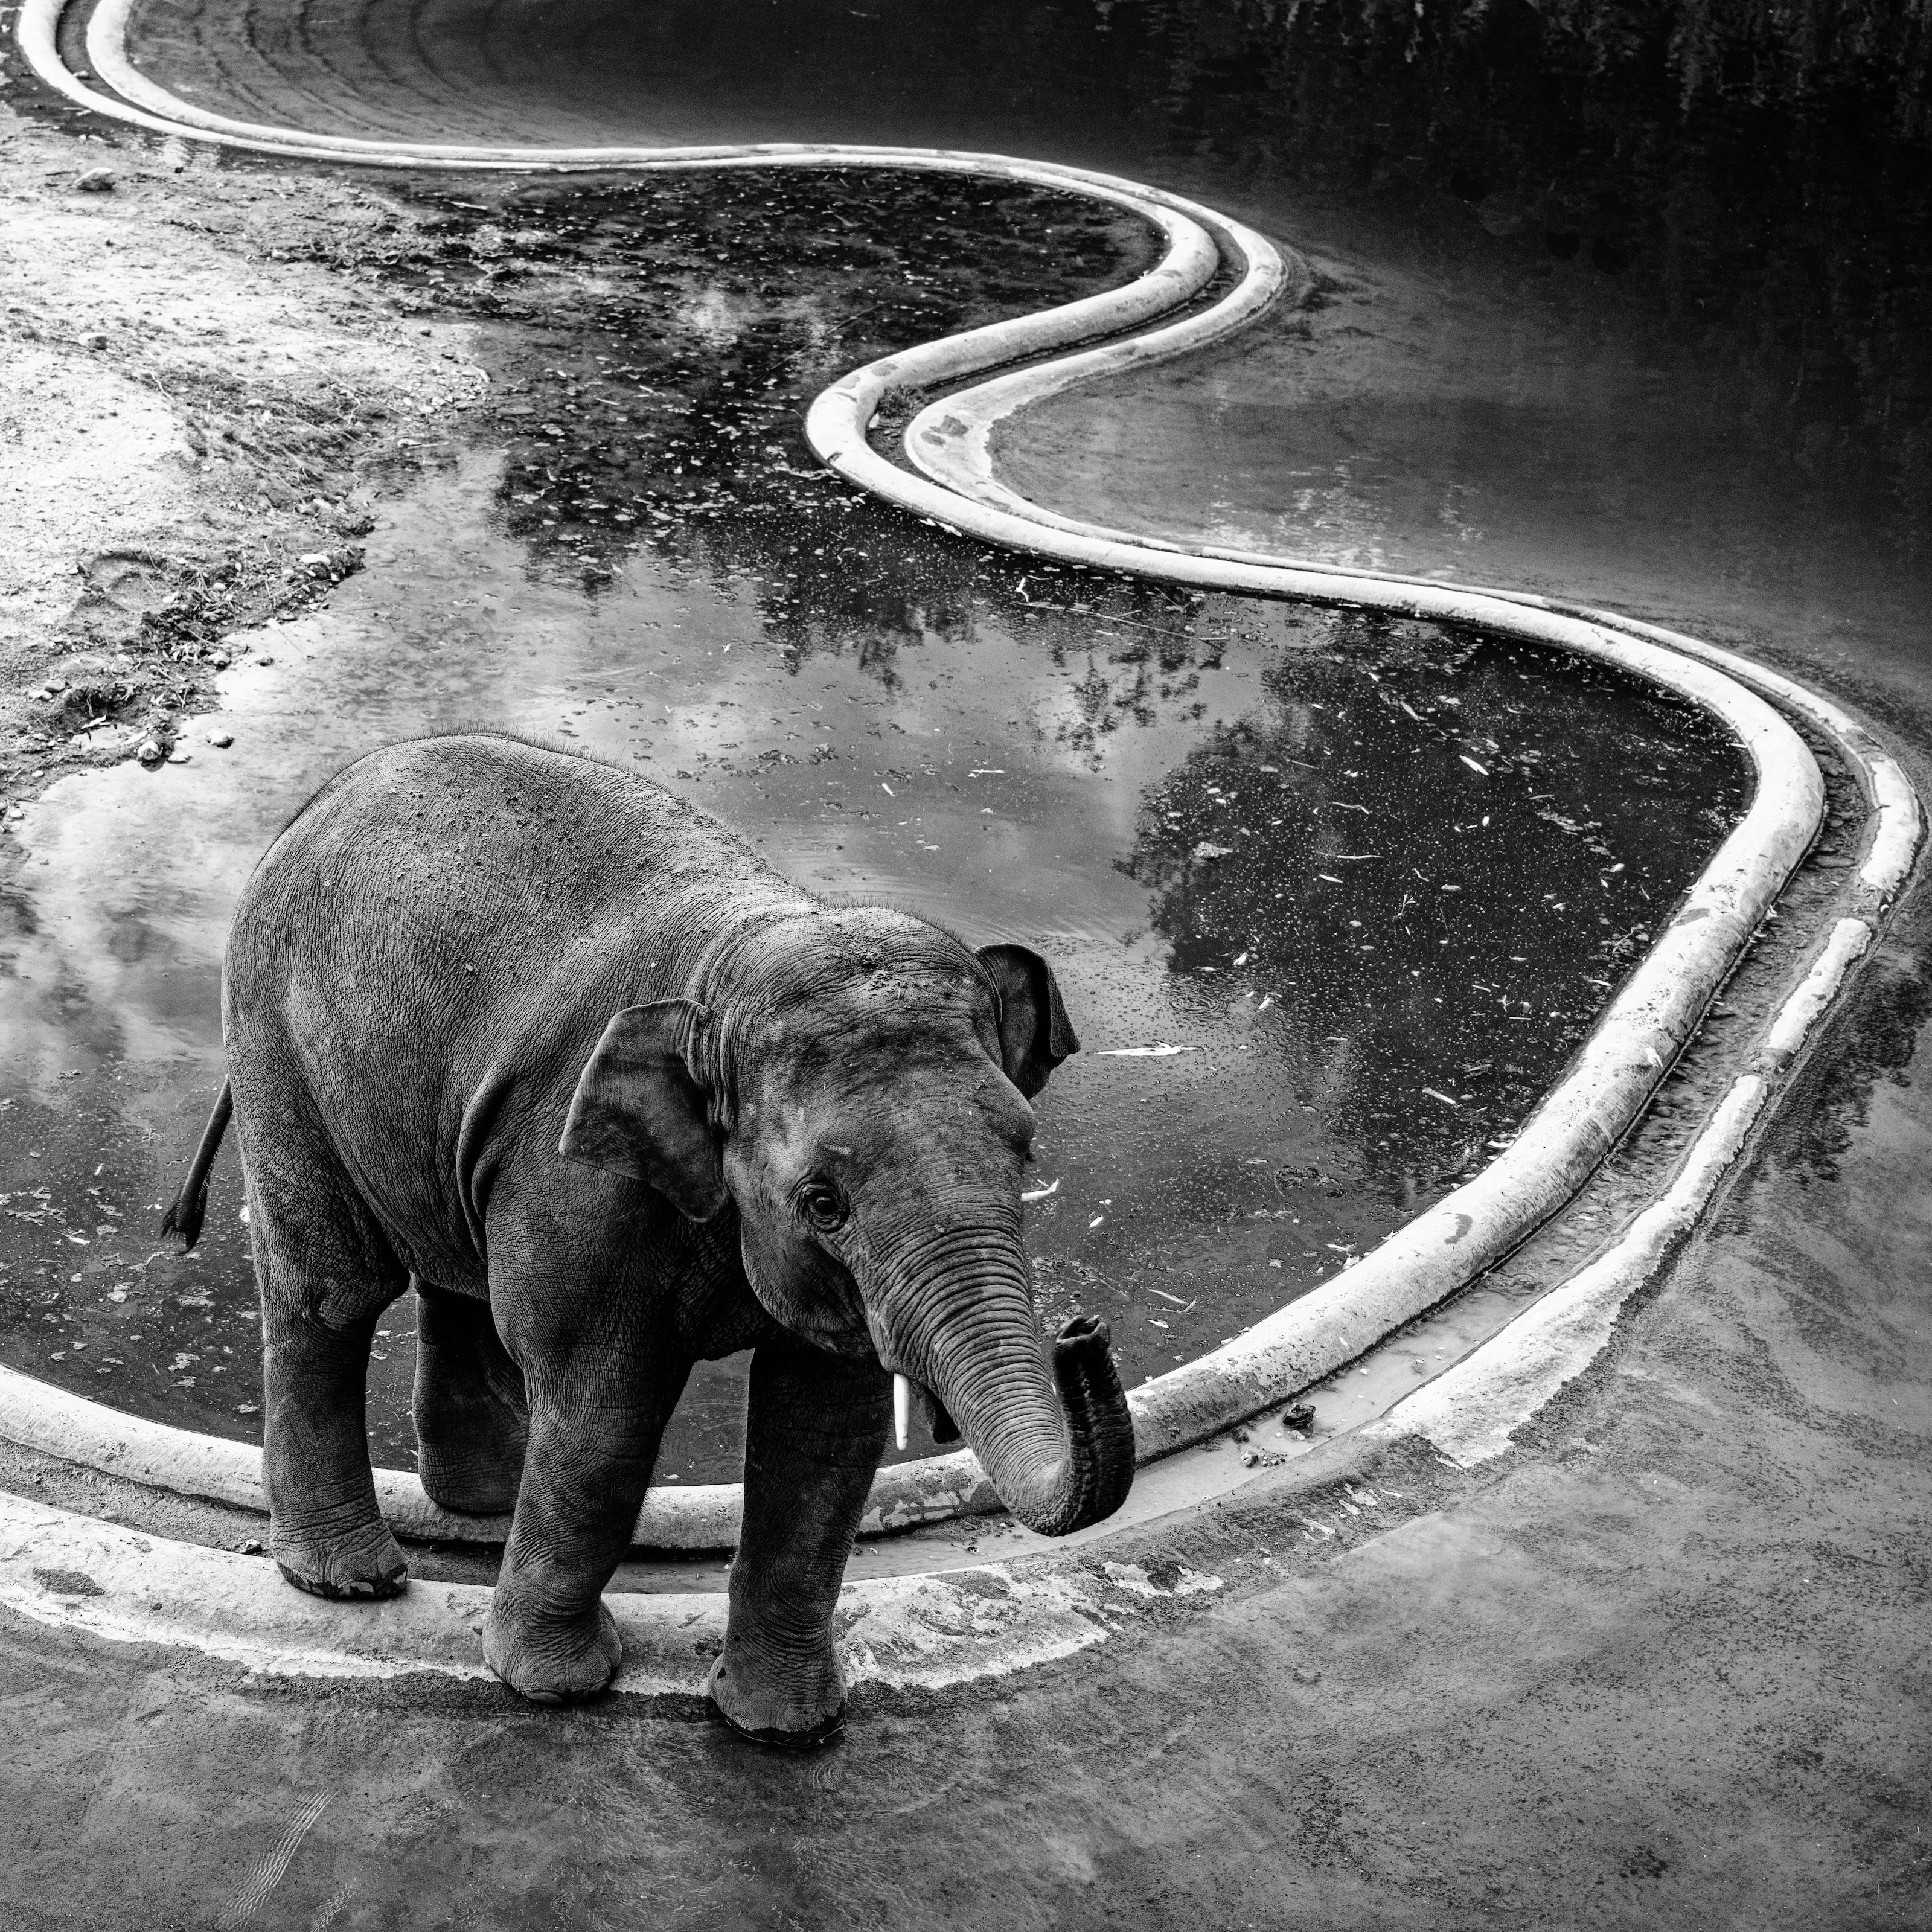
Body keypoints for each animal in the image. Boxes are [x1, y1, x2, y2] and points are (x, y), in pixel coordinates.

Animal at [161, 731, 1132, 1744]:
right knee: (333, 1293)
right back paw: (351, 1582)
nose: (1083, 1333)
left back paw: (485, 1500)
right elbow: (606, 1415)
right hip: (275, 1037)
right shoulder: (585, 1180)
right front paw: (557, 1687)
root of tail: (318, 797)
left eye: (1025, 1149)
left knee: (457, 1274)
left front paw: (784, 1730)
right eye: (823, 1201)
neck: (740, 952)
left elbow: (825, 1434)